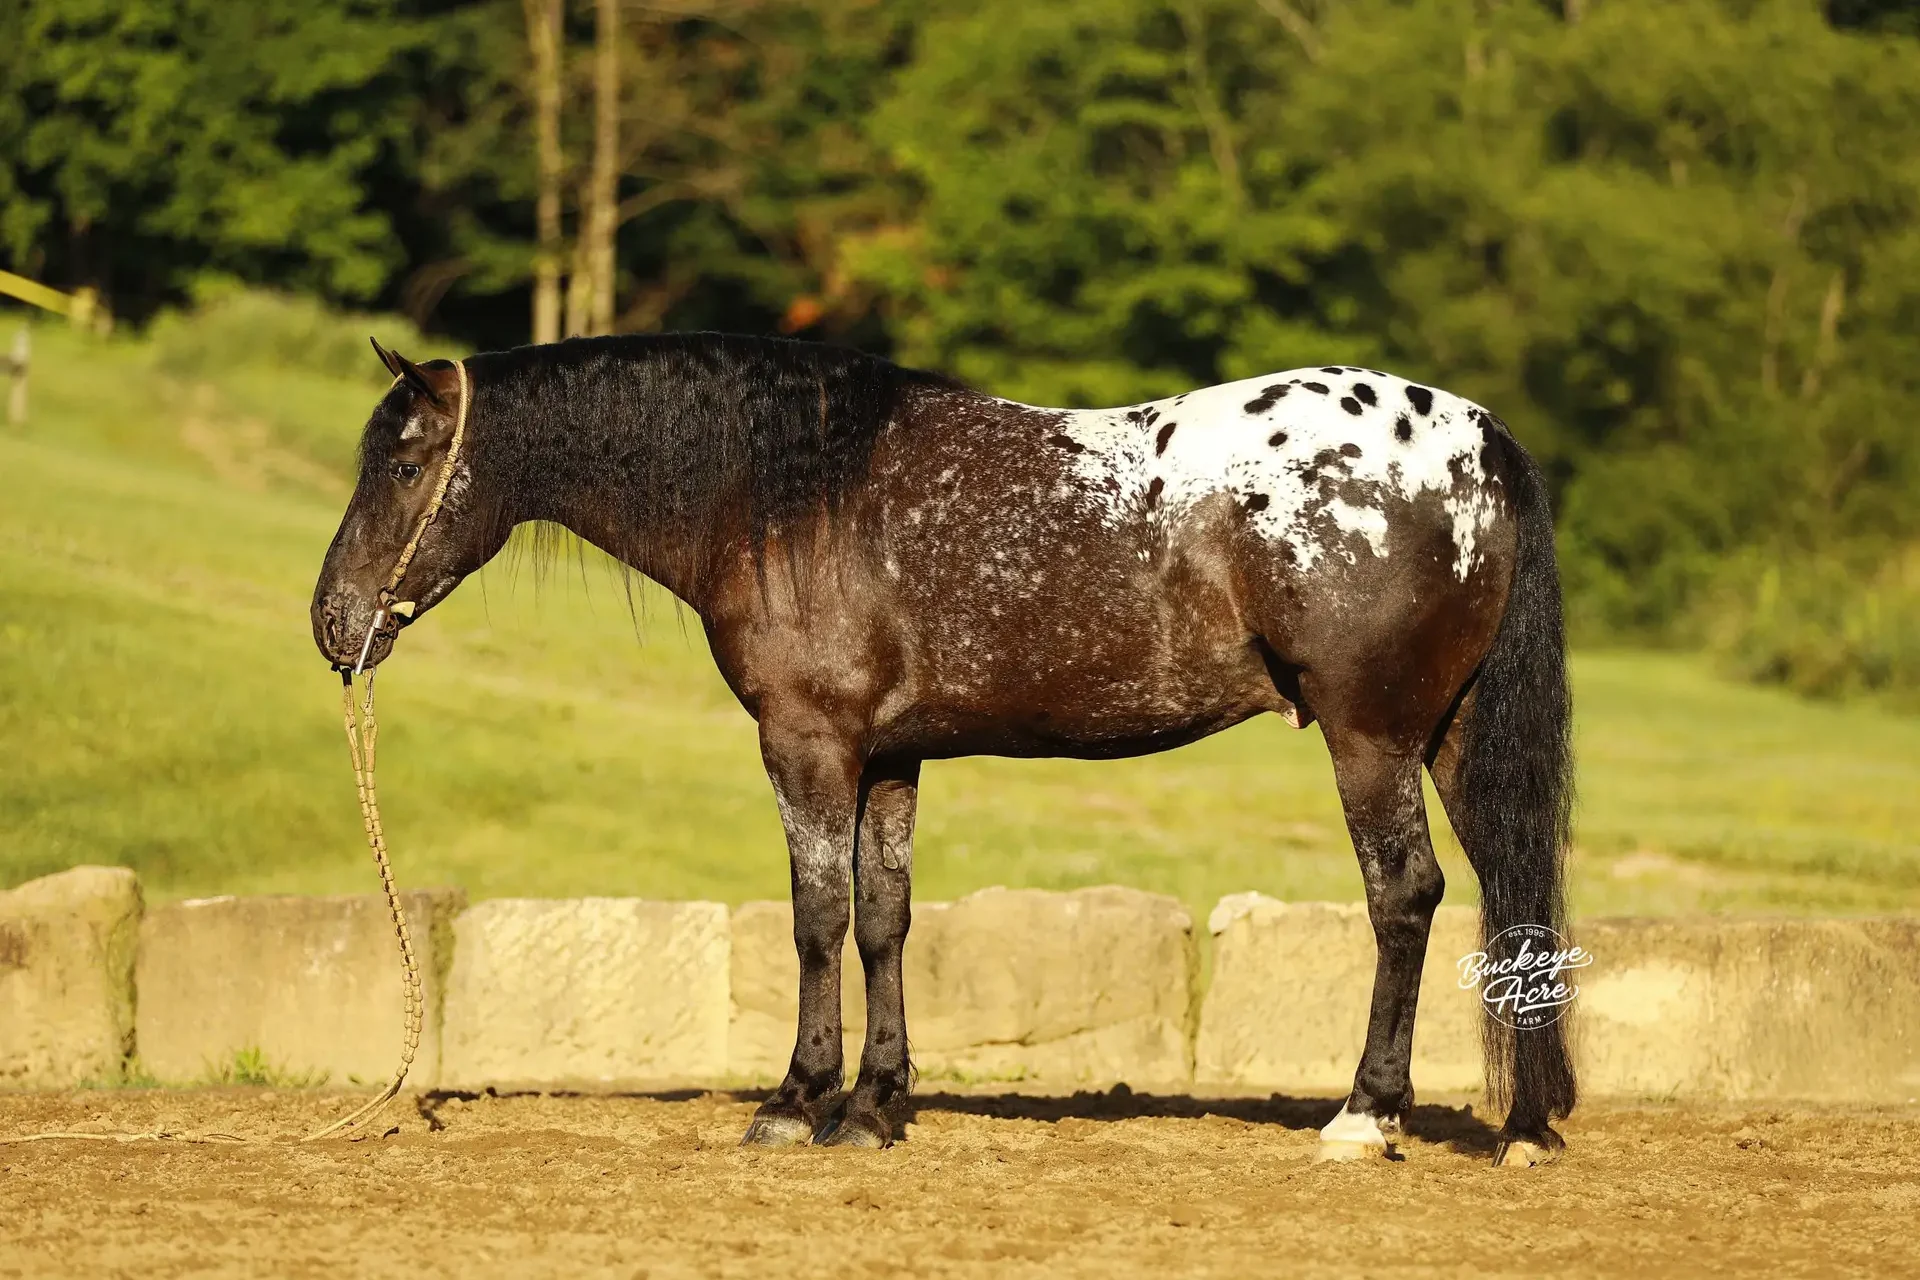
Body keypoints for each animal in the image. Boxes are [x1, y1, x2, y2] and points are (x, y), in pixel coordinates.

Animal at [311, 333, 1576, 1166]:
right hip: (1453, 738)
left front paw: (796, 1099)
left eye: (406, 461)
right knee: (1511, 894)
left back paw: (1366, 1114)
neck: (787, 497)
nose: (332, 622)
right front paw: (876, 1105)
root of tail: (1480, 442)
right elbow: (884, 918)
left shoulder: (810, 744)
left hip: (1373, 736)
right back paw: (1522, 1123)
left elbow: (816, 916)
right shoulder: (889, 758)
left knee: (1406, 895)